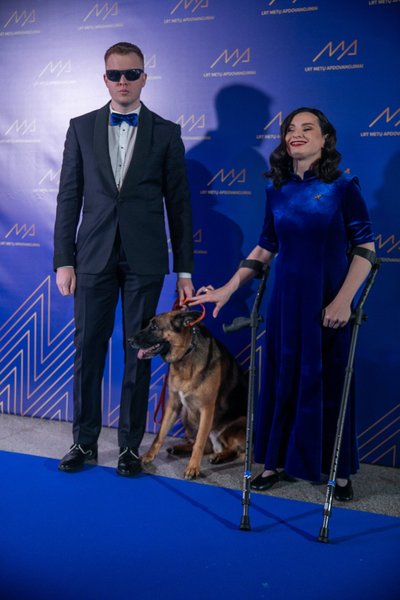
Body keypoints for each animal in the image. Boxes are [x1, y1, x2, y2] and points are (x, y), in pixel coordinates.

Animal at [130, 310, 245, 478]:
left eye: (154, 327)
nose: (129, 340)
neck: (186, 352)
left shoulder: (206, 409)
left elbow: (199, 442)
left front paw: (193, 467)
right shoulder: (173, 404)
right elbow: (160, 434)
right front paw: (149, 455)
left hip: (233, 427)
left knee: (231, 449)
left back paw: (219, 456)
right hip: (186, 415)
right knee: (208, 446)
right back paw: (179, 448)